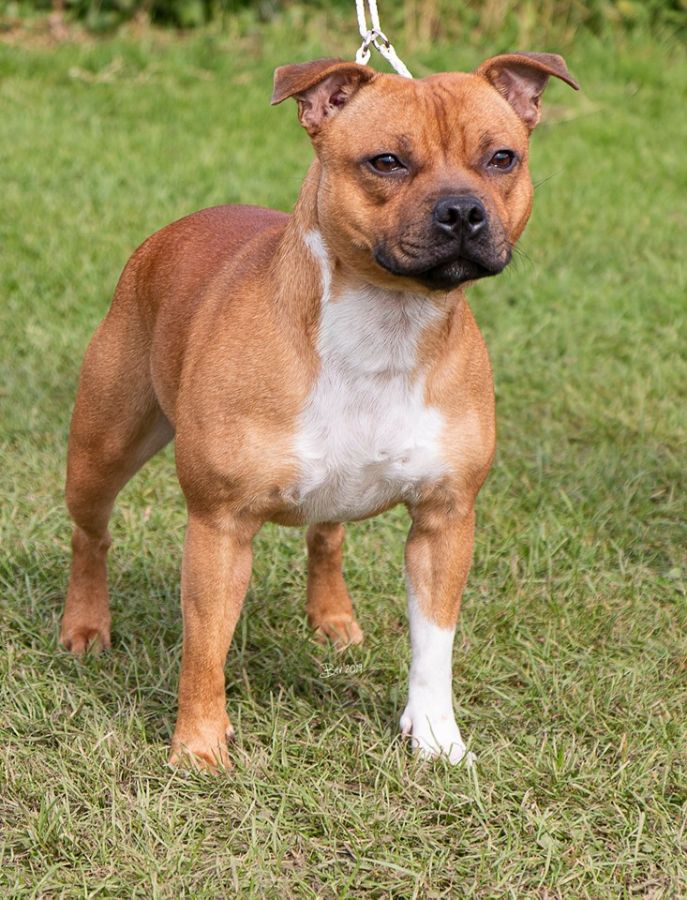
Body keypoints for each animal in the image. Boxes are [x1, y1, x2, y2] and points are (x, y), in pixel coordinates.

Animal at [60, 53, 578, 769]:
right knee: (92, 535)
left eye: (502, 158)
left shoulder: (445, 518)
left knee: (326, 535)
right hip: (102, 447)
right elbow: (205, 645)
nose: (463, 212)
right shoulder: (219, 524)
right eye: (386, 161)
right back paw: (85, 624)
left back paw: (332, 618)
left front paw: (436, 736)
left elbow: (434, 642)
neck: (386, 322)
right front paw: (198, 747)